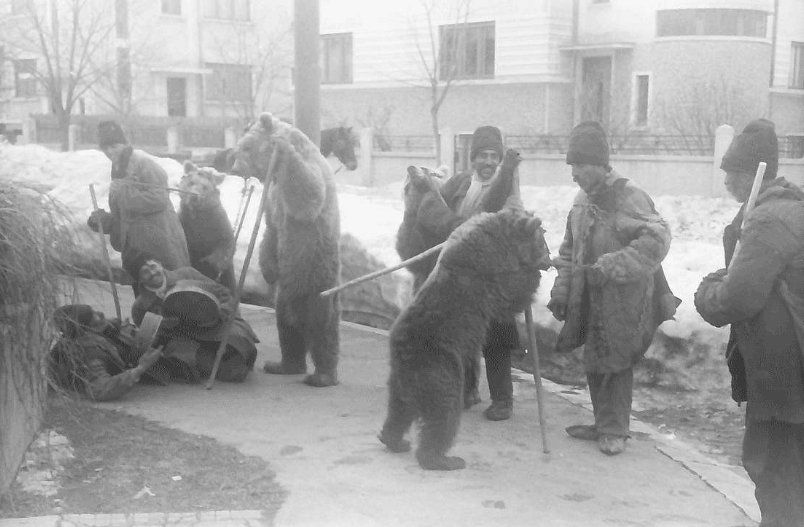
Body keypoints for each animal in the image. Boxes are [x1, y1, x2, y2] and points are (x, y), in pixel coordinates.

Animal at [178, 161, 236, 292]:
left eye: (205, 187)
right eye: (191, 182)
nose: (194, 196)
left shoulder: (218, 223)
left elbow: (226, 243)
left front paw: (209, 261)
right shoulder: (186, 222)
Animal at [228, 112, 340, 388]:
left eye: (246, 147)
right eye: (237, 148)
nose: (234, 168)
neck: (276, 174)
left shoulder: (308, 172)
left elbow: (309, 195)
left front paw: (282, 146)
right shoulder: (273, 197)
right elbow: (271, 229)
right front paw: (267, 269)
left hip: (317, 277)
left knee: (323, 327)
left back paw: (321, 376)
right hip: (285, 294)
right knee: (287, 329)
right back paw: (282, 364)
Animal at [380, 208, 548, 472]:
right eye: (542, 242)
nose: (549, 262)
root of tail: (404, 351)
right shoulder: (491, 270)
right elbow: (511, 294)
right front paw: (532, 277)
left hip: (402, 379)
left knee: (399, 410)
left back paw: (395, 440)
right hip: (440, 365)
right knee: (444, 412)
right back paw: (443, 459)